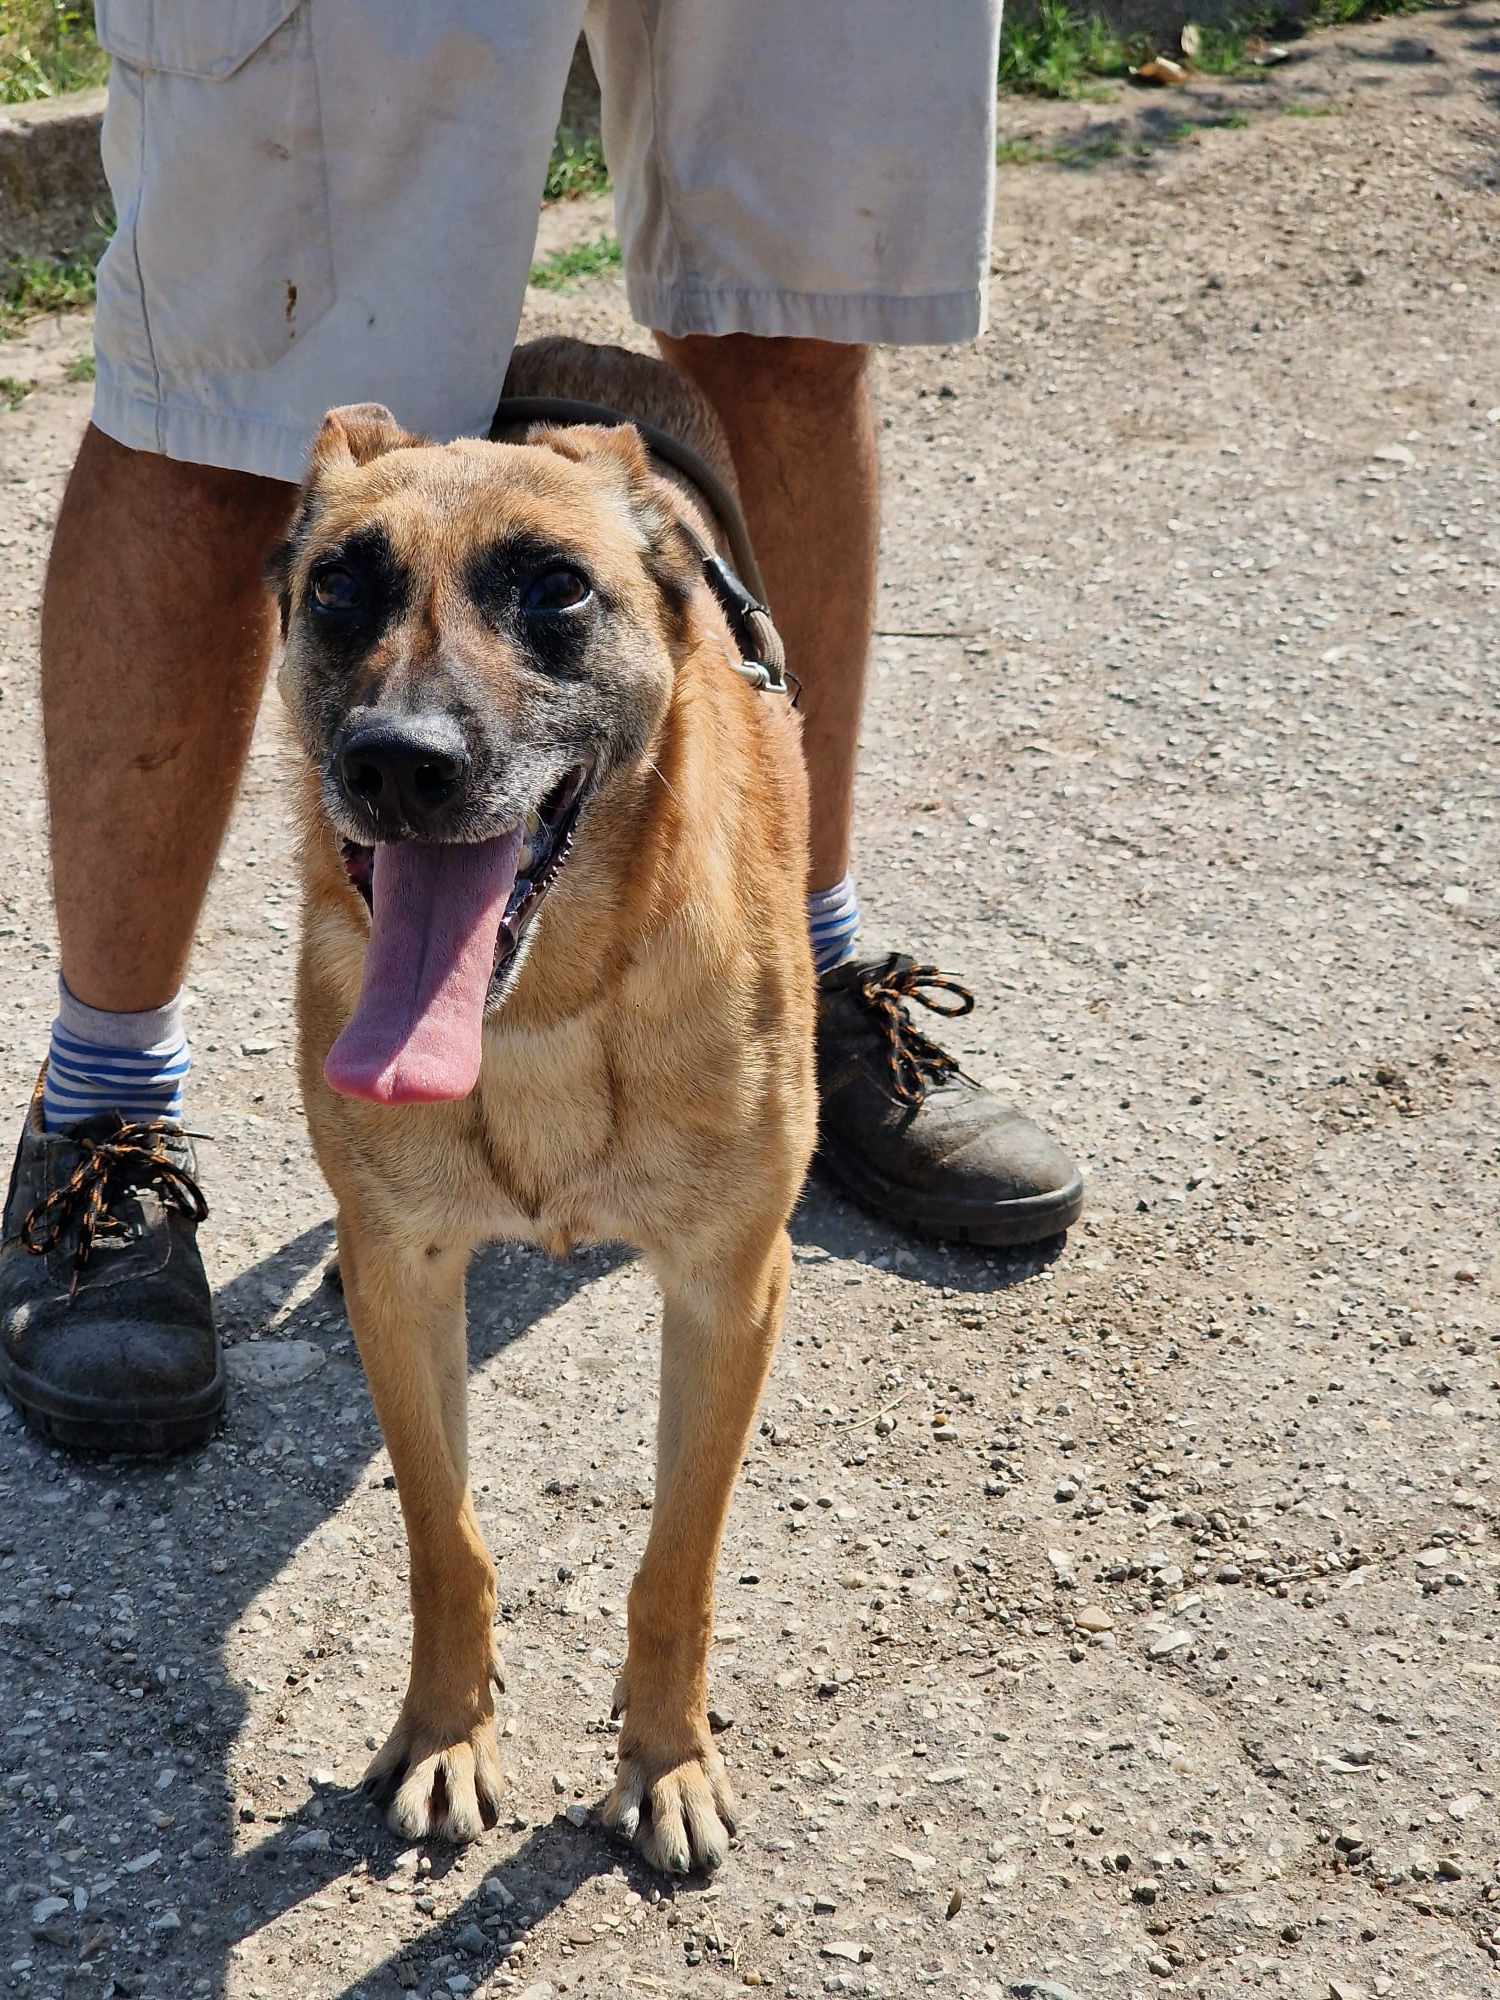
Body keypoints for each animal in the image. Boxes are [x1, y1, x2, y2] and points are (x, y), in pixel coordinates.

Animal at [271, 338, 816, 1875]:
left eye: (558, 588)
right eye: (338, 585)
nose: (397, 762)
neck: (542, 1012)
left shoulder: (732, 1288)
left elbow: (677, 1561)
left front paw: (667, 1758)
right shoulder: (411, 1278)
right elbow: (445, 1538)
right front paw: (447, 1731)